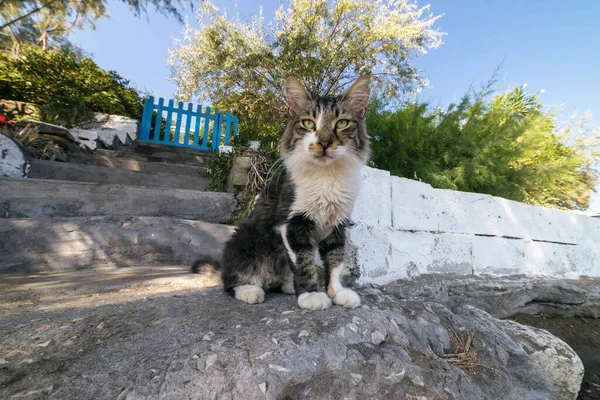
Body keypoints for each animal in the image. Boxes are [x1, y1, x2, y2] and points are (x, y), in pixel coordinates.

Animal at [193, 76, 370, 312]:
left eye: (341, 123)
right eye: (308, 123)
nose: (324, 142)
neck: (326, 176)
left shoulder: (337, 224)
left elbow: (335, 262)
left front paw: (337, 292)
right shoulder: (293, 222)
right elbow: (304, 262)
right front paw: (311, 294)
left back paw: (287, 285)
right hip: (243, 241)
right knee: (232, 281)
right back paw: (250, 290)